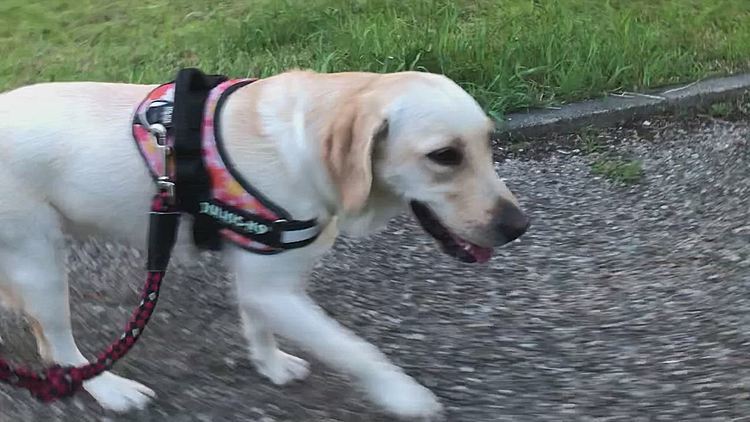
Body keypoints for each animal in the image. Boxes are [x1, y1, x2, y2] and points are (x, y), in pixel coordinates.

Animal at [0, 71, 528, 420]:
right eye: (445, 156)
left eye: (488, 143)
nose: (519, 226)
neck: (303, 149)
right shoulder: (273, 288)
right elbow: (356, 349)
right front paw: (404, 395)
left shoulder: (261, 274)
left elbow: (257, 324)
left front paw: (270, 365)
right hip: (39, 259)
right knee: (57, 344)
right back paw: (112, 390)